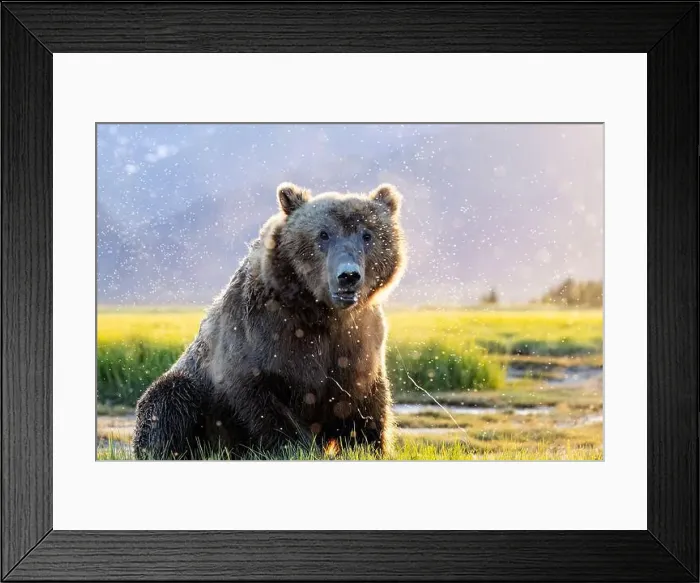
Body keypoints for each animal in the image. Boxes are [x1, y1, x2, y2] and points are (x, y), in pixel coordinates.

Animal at [132, 182, 407, 460]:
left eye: (368, 235)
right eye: (323, 234)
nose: (348, 275)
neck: (321, 312)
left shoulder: (359, 338)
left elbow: (364, 400)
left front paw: (369, 446)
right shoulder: (265, 331)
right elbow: (264, 398)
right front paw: (298, 448)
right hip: (189, 391)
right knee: (168, 401)